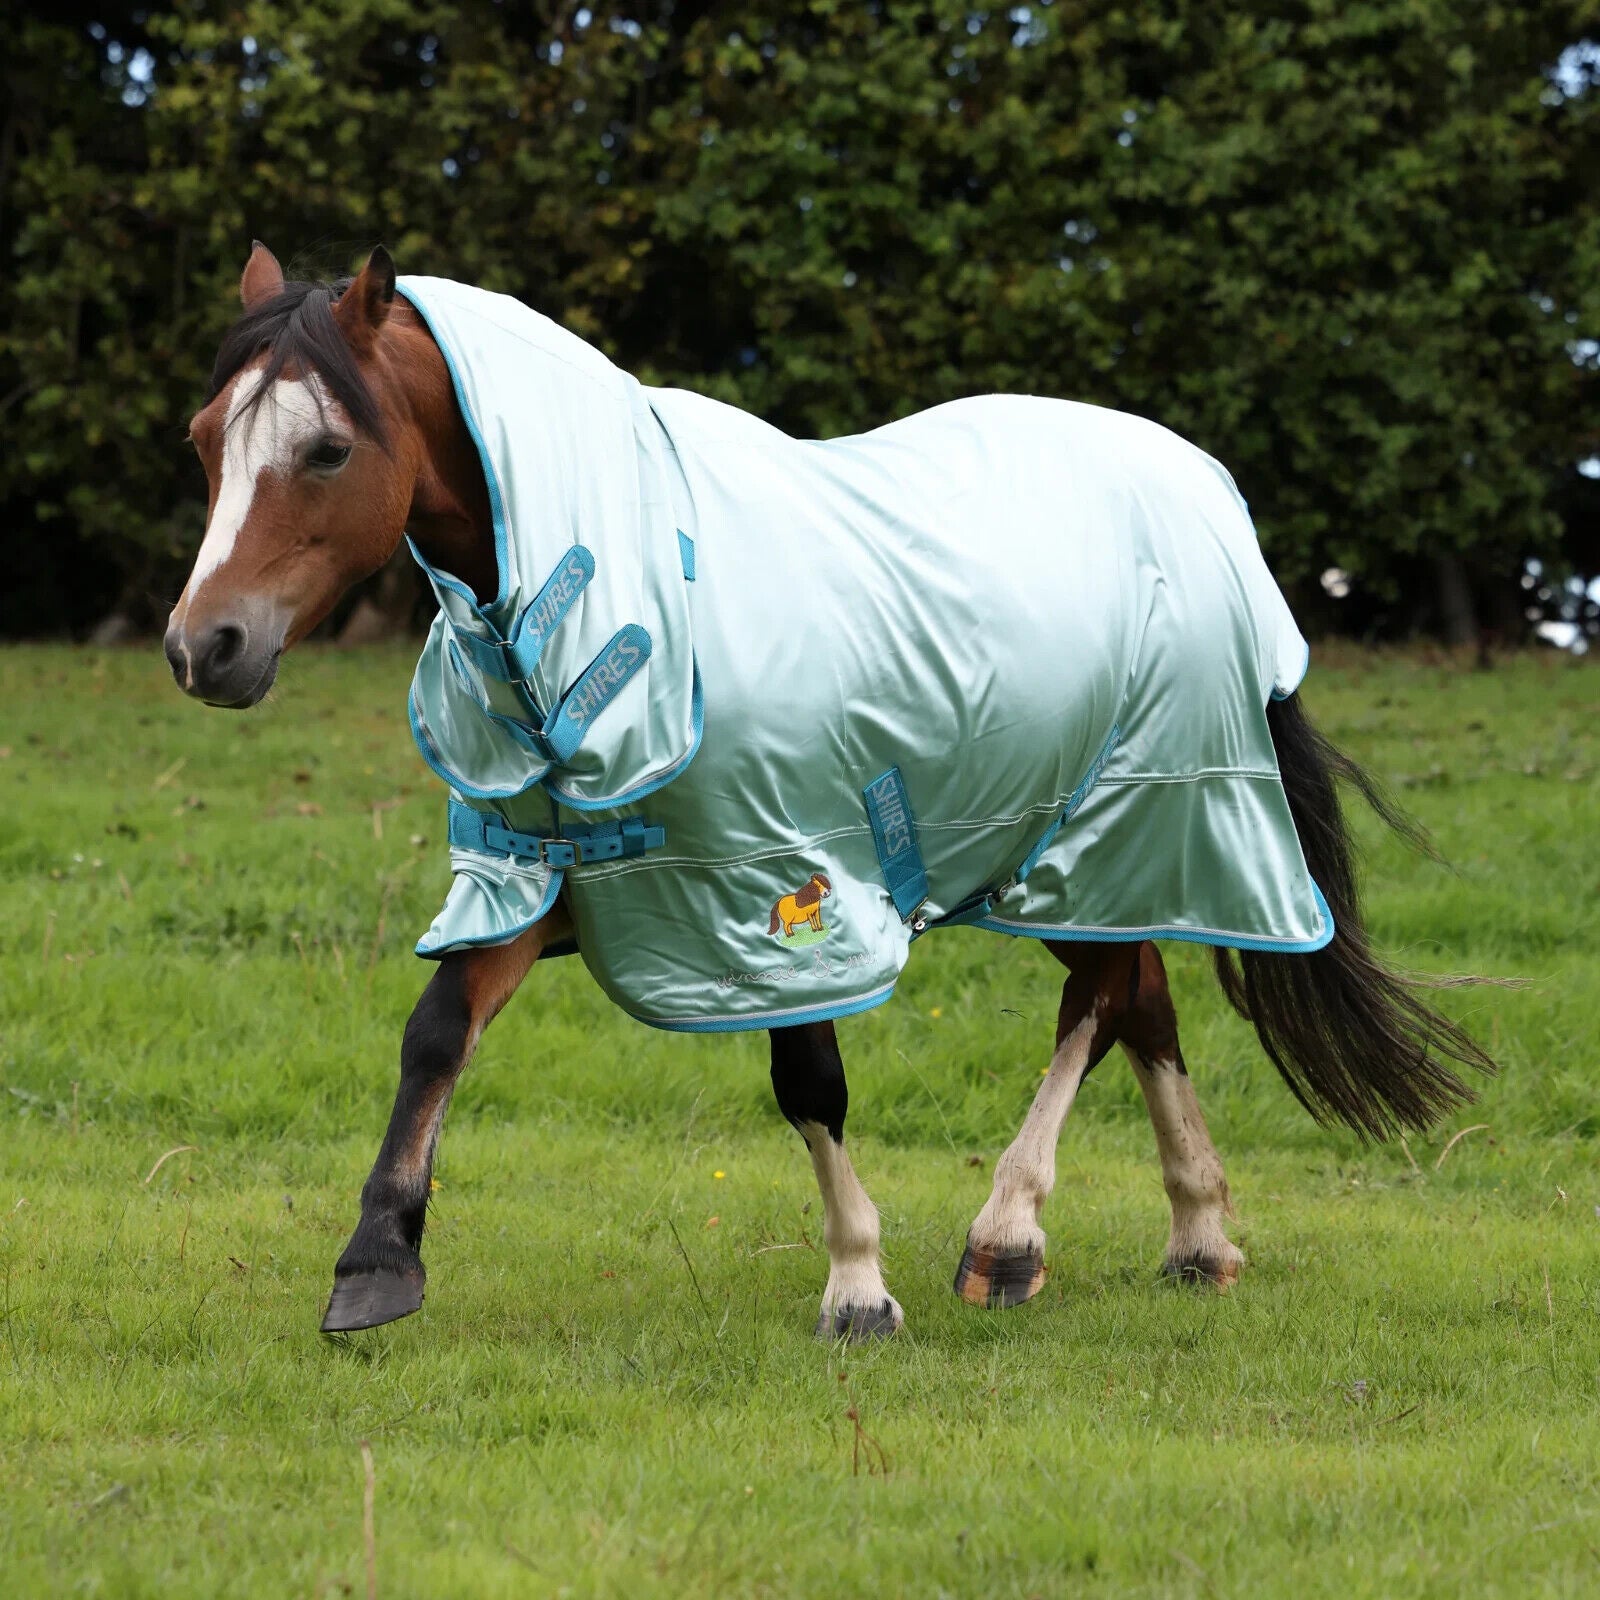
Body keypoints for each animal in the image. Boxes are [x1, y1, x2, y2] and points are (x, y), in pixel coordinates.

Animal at [165, 243, 1498, 1339]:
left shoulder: (780, 881)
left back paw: (1007, 1236)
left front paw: (857, 1285)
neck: (631, 587)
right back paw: (1197, 1234)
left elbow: (808, 1079)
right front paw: (374, 1263)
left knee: (1104, 997)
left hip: (1127, 817)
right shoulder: (538, 875)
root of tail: (1200, 489)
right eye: (204, 439)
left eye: (328, 448)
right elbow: (436, 1030)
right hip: (1079, 845)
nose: (203, 647)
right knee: (1141, 994)